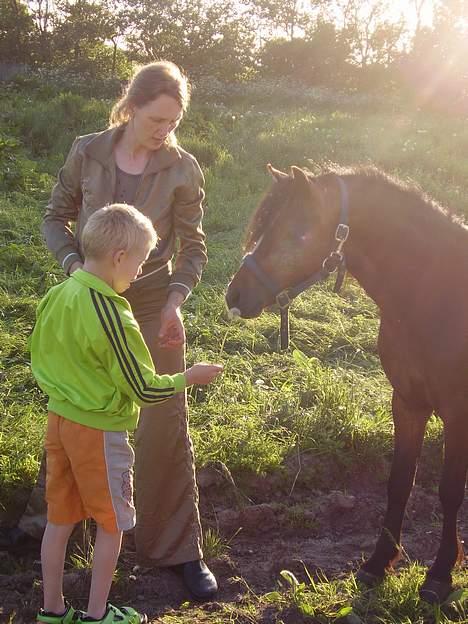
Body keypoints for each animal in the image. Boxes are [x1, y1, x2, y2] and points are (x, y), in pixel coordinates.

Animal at [225, 163, 466, 604]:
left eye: (297, 232)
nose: (234, 295)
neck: (437, 298)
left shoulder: (458, 414)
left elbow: (450, 491)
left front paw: (440, 574)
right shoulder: (407, 403)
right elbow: (399, 483)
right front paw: (378, 563)